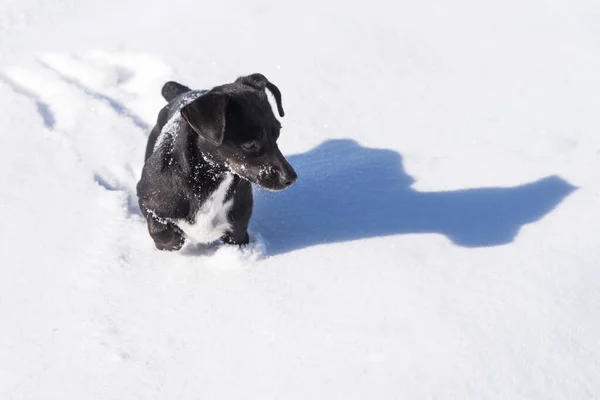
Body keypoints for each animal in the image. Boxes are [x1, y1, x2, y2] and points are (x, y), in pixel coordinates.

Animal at [135, 74, 296, 250]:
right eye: (249, 145)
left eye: (278, 133)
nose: (291, 178)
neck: (210, 180)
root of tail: (184, 92)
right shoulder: (148, 199)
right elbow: (161, 231)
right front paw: (173, 241)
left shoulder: (237, 230)